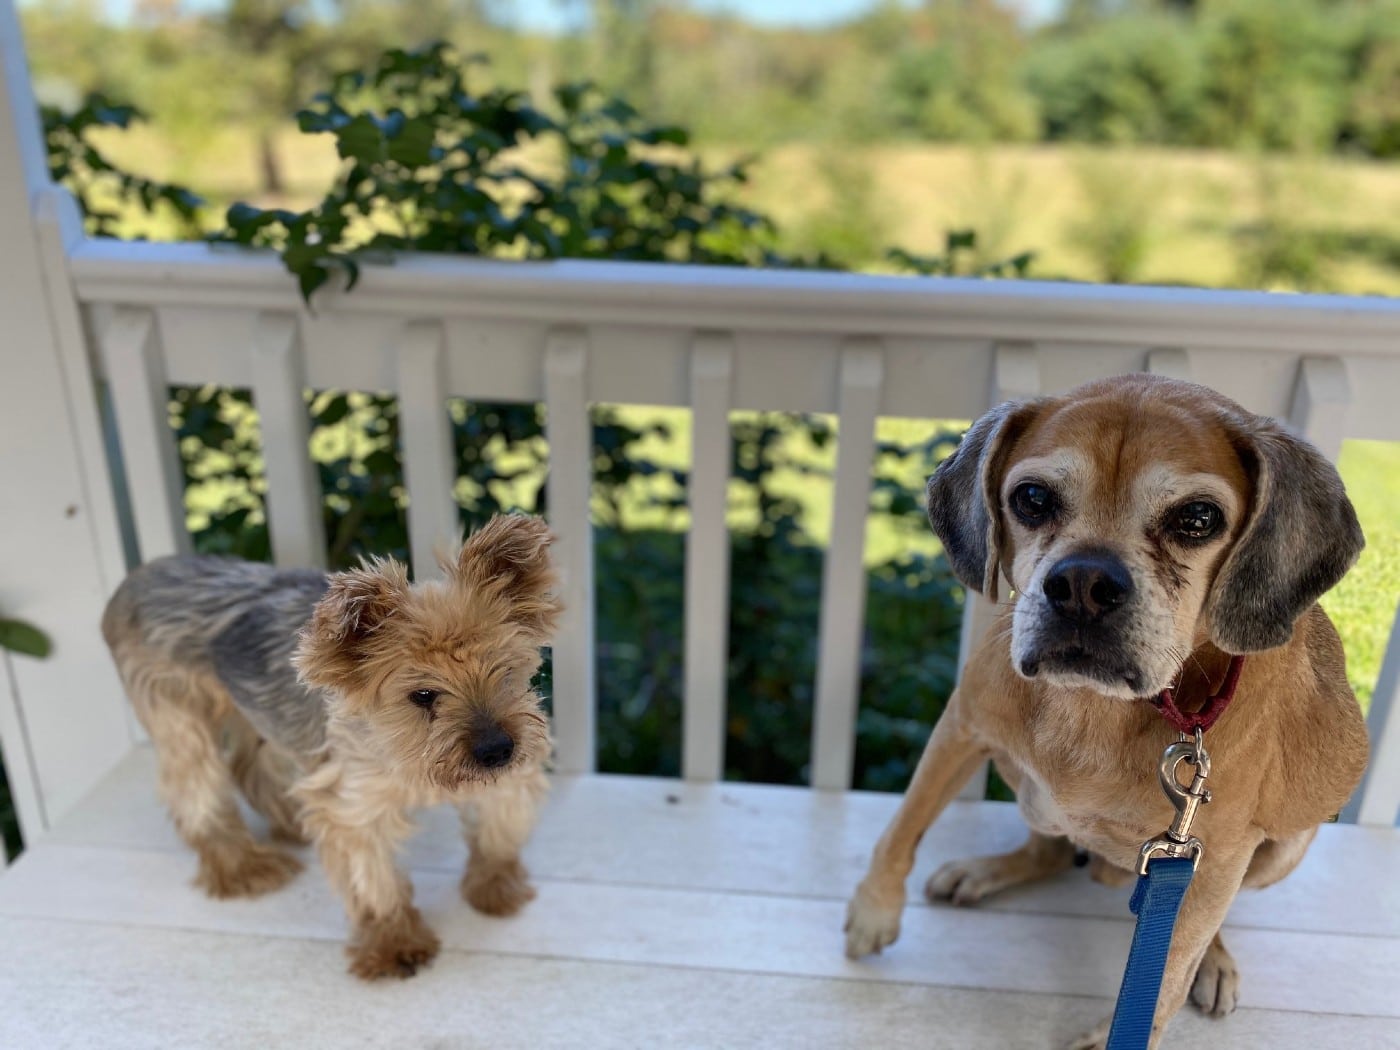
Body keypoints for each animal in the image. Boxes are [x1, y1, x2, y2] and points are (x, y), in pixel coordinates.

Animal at [101, 515, 560, 985]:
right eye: (423, 694)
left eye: (506, 671)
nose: (496, 750)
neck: (409, 754)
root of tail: (135, 578)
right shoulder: (354, 805)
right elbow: (372, 879)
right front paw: (393, 944)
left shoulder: (516, 759)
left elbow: (499, 826)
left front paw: (495, 886)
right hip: (175, 707)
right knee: (195, 785)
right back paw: (242, 866)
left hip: (259, 708)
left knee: (250, 762)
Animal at [840, 375, 1366, 1050]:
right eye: (1032, 498)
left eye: (1198, 518)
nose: (1083, 584)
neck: (1097, 709)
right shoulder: (960, 729)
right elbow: (902, 826)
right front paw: (873, 910)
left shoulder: (1213, 857)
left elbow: (1170, 969)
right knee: (1048, 849)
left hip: (1281, 849)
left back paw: (1215, 960)